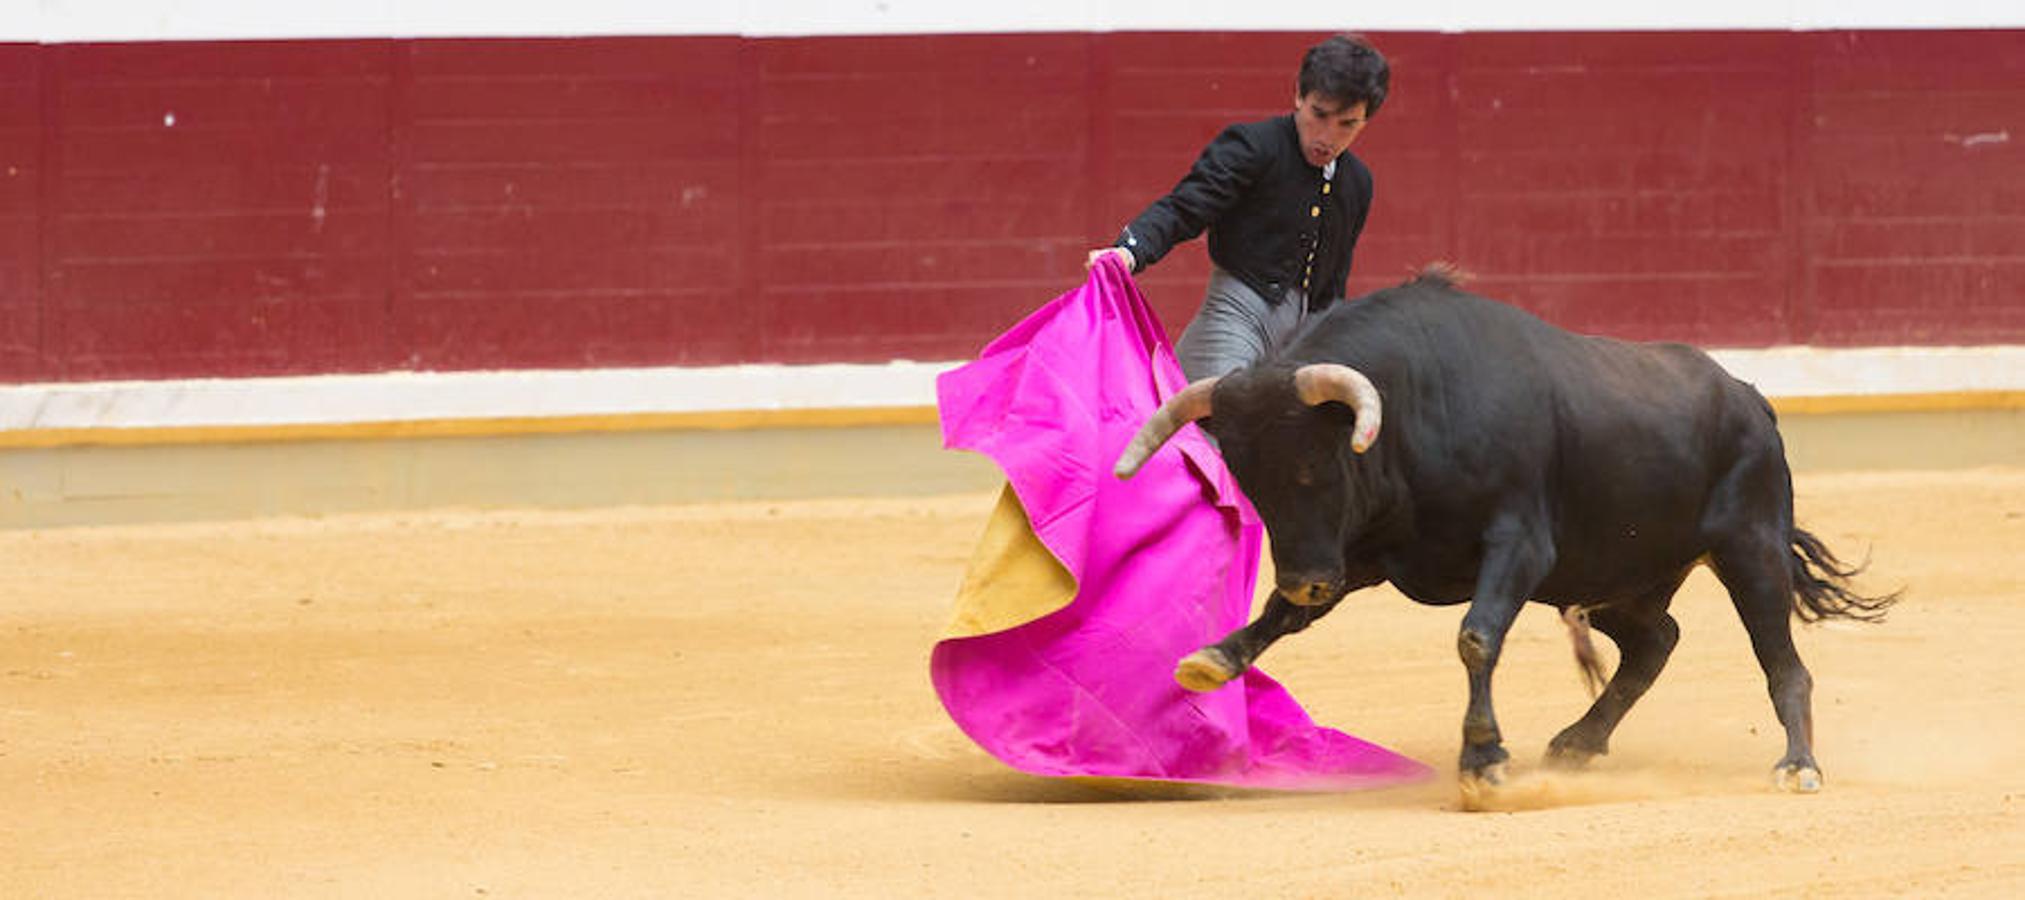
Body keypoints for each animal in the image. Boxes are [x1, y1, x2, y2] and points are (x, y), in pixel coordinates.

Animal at [1109, 267, 1895, 794]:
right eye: (1250, 479)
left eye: (1316, 464)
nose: (1307, 580)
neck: (1416, 401)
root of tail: (1750, 397)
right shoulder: (1367, 553)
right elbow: (1280, 616)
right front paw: (1213, 658)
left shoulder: (1517, 545)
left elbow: (1476, 636)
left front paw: (1482, 759)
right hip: (1613, 576)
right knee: (1654, 642)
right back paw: (1577, 742)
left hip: (1749, 549)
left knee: (1781, 663)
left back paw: (1798, 766)